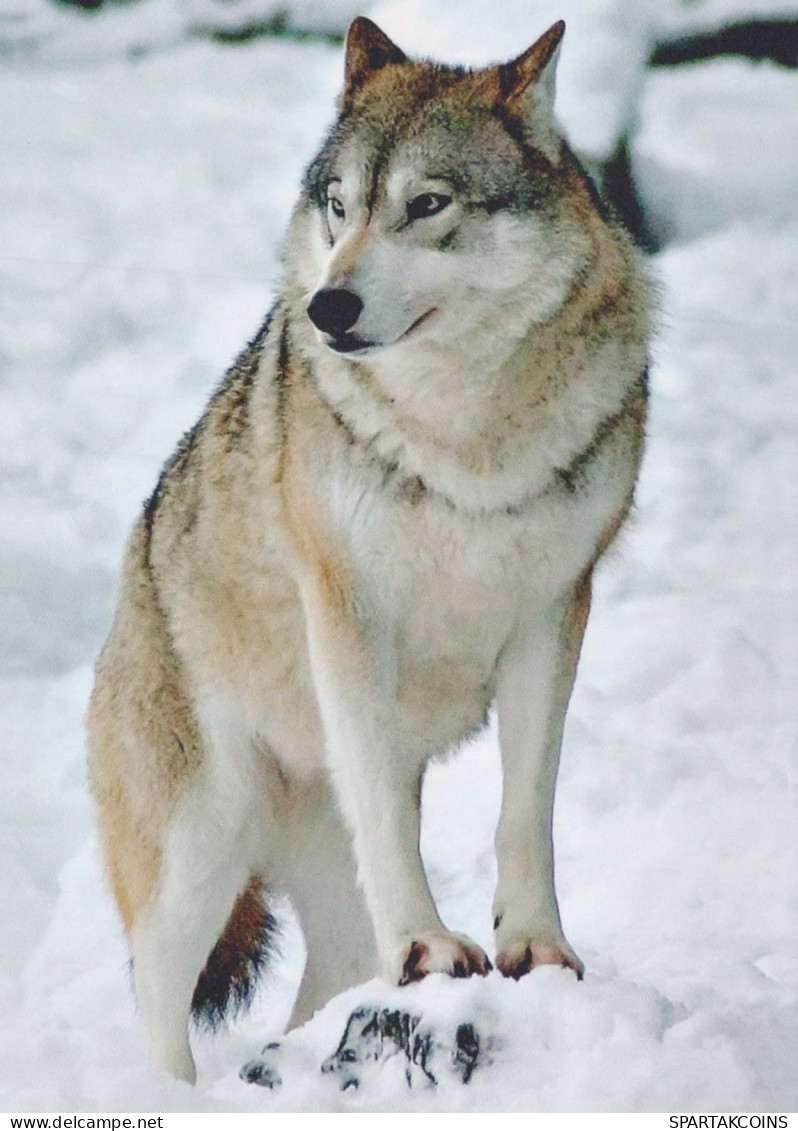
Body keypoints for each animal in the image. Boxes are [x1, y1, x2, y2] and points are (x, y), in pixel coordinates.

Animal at [85, 13, 646, 1081]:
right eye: (340, 207)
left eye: (427, 205)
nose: (328, 309)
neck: (466, 438)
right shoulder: (348, 615)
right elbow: (387, 816)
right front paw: (429, 947)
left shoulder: (554, 614)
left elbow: (527, 807)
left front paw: (535, 949)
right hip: (196, 858)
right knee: (154, 1010)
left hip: (306, 894)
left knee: (324, 986)